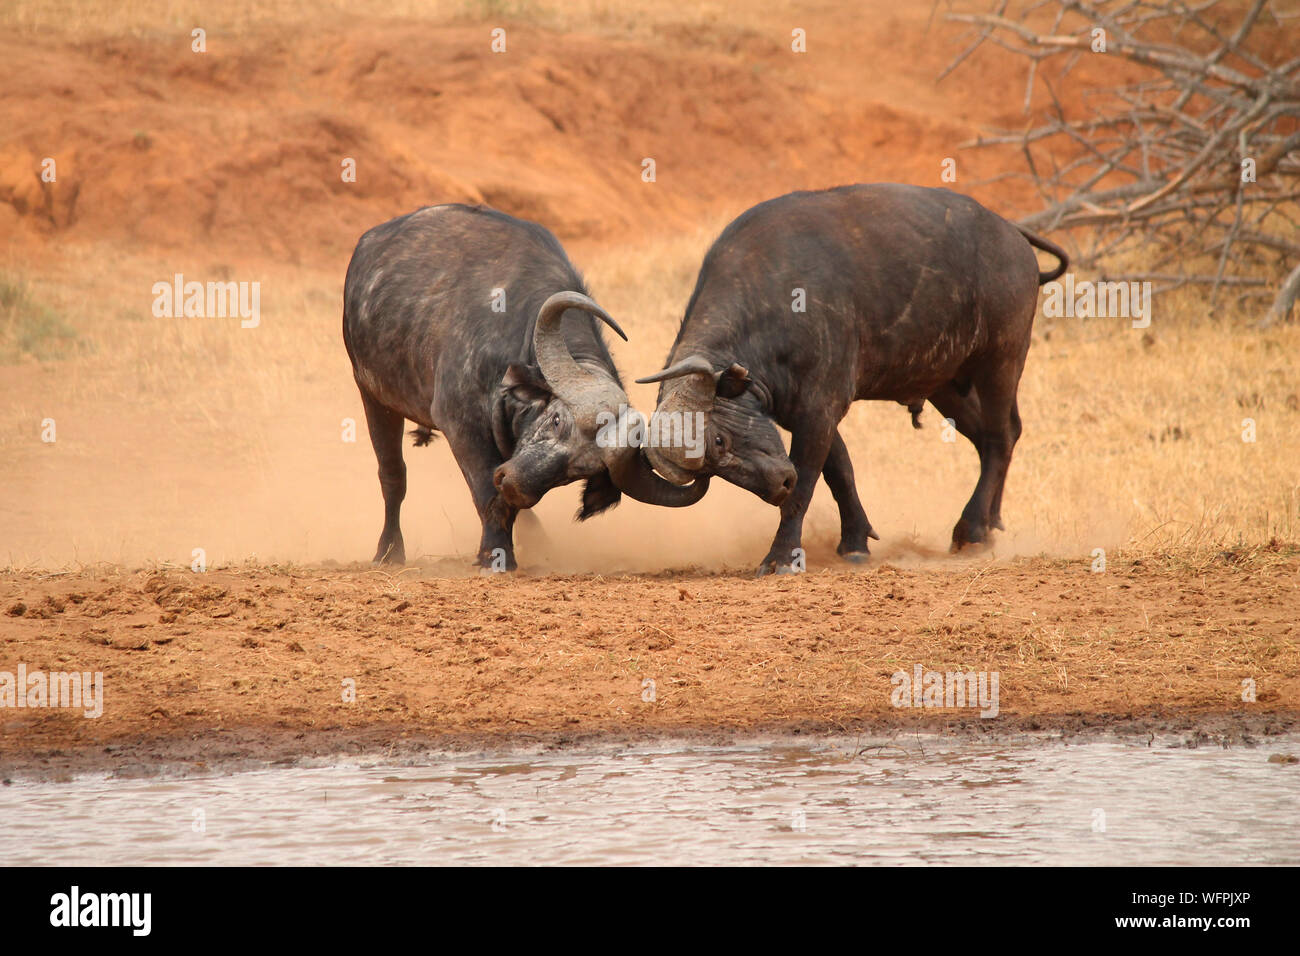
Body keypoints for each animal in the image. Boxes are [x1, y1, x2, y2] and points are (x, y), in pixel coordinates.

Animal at [343, 205, 712, 572]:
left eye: (578, 471)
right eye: (556, 420)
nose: (517, 486)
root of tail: (369, 242)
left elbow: (505, 502)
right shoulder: (462, 425)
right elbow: (486, 493)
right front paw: (494, 555)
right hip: (372, 393)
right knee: (393, 475)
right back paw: (389, 551)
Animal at [634, 184, 1071, 574]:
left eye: (720, 440)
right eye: (710, 470)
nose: (778, 484)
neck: (772, 299)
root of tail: (1012, 233)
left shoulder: (819, 409)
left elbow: (807, 485)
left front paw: (782, 556)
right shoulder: (804, 411)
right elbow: (840, 470)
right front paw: (855, 541)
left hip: (1001, 361)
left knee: (1000, 436)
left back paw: (973, 529)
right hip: (946, 384)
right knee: (992, 437)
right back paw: (992, 521)